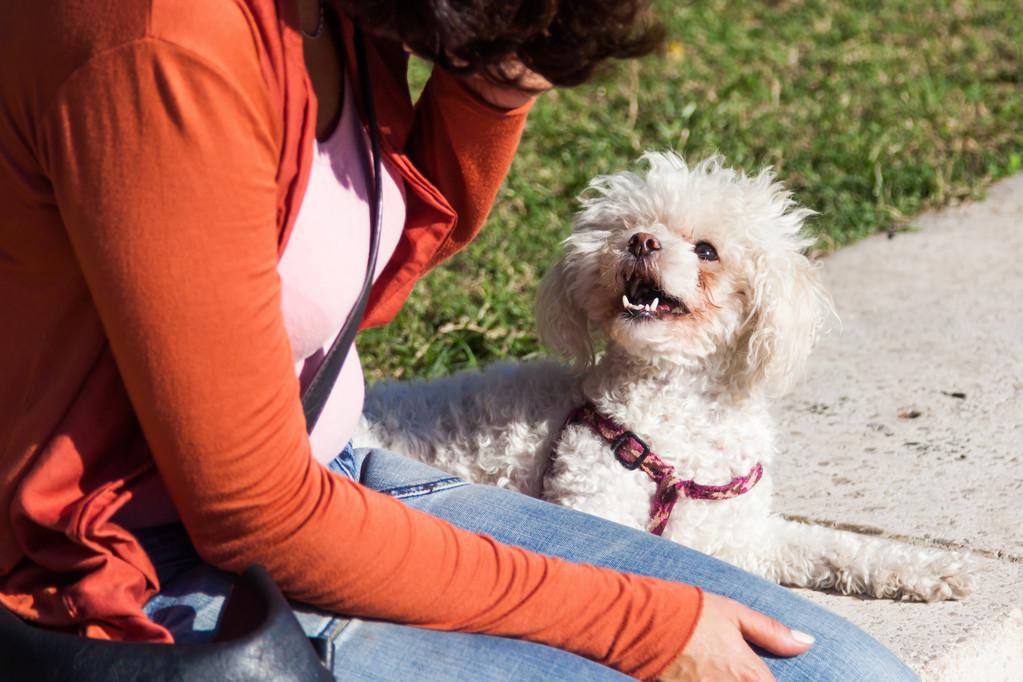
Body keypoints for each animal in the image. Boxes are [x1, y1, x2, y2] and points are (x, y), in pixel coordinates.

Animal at [360, 152, 973, 601]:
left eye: (707, 251)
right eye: (627, 229)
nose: (641, 242)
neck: (681, 409)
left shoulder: (739, 533)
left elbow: (832, 546)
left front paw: (925, 569)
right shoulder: (591, 504)